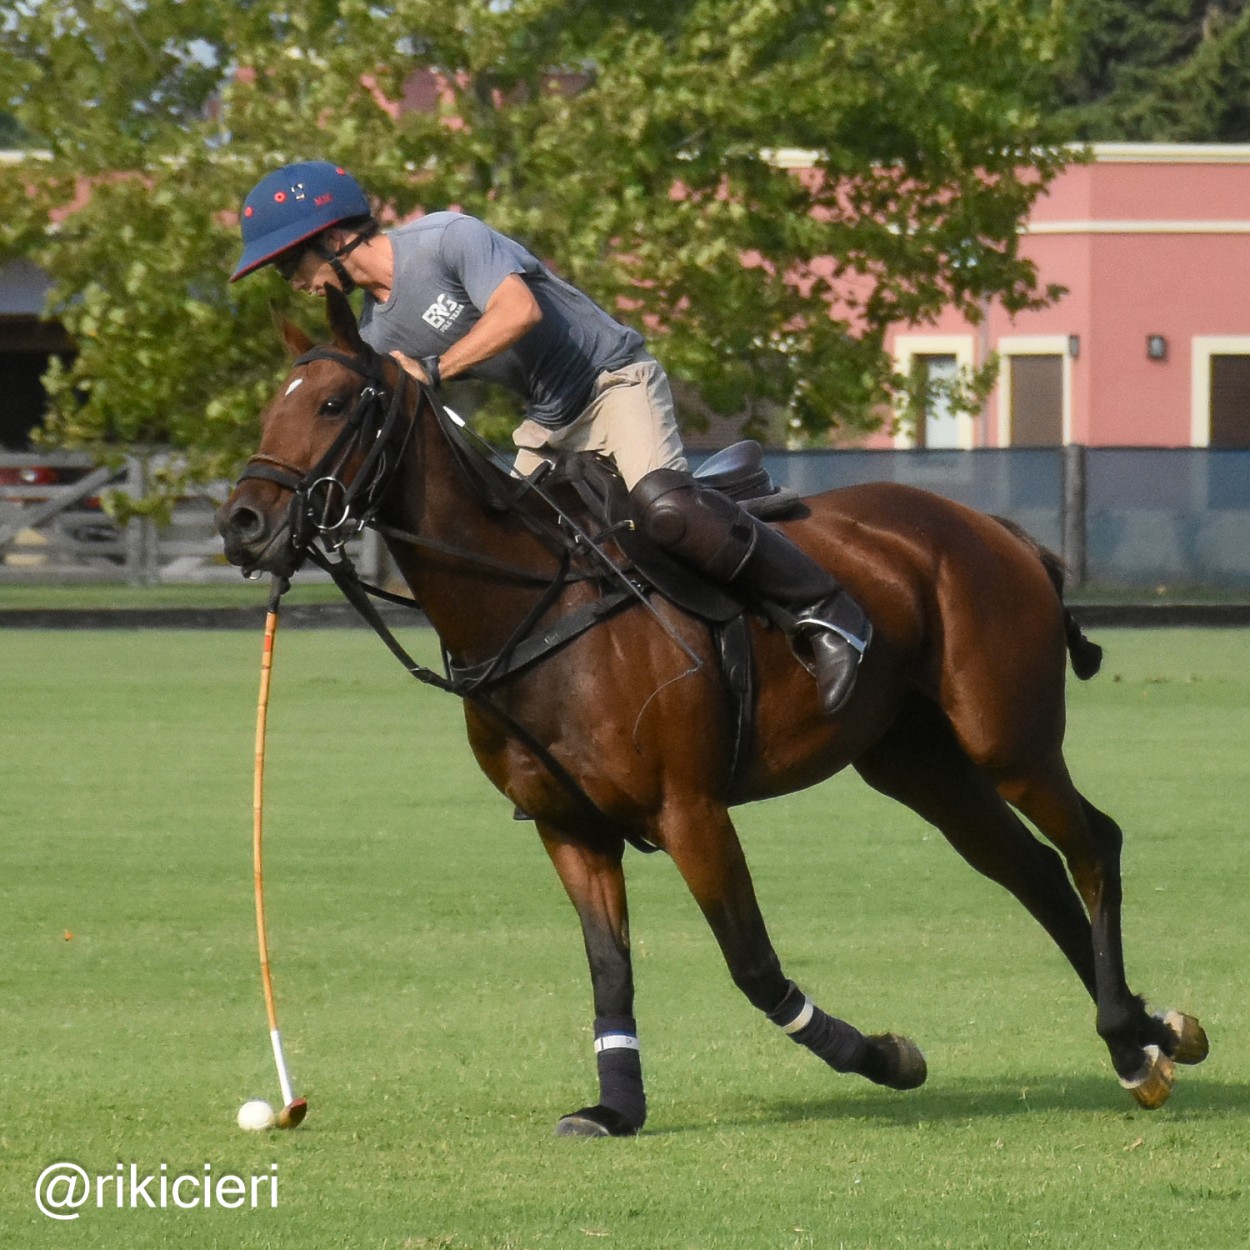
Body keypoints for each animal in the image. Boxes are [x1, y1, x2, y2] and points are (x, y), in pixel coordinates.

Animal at [217, 290, 1210, 1135]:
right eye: (273, 405)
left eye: (336, 403)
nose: (242, 524)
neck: (529, 602)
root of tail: (1001, 532)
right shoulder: (570, 826)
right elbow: (609, 970)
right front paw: (615, 1108)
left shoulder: (688, 810)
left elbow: (754, 966)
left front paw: (887, 1057)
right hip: (916, 762)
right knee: (1030, 870)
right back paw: (1147, 1036)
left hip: (1007, 738)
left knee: (1093, 844)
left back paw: (1130, 1038)